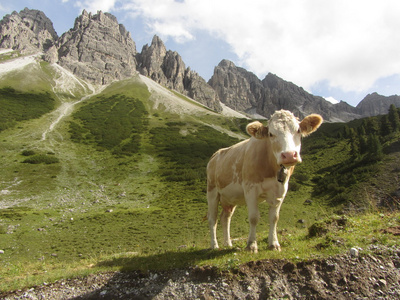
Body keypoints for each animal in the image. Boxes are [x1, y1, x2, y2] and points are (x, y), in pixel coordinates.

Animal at [206, 109, 322, 252]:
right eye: (271, 134)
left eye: (298, 130)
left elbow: (274, 218)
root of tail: (215, 155)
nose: (289, 155)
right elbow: (254, 218)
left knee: (225, 218)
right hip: (212, 192)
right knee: (213, 219)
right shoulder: (250, 189)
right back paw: (214, 245)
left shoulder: (280, 191)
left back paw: (228, 243)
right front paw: (251, 245)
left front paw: (274, 244)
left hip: (230, 198)